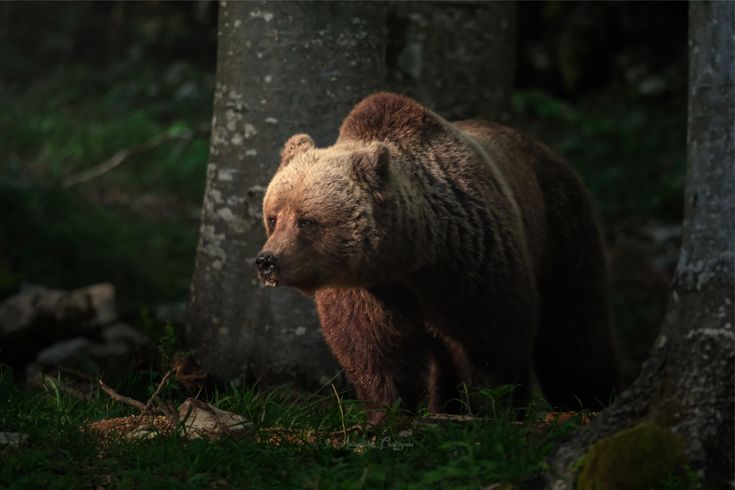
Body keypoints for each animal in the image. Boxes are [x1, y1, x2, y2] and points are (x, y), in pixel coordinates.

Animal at [256, 92, 619, 423]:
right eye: (273, 217)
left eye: (306, 220)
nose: (267, 260)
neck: (409, 258)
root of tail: (549, 151)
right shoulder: (365, 289)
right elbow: (371, 349)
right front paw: (387, 412)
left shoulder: (473, 263)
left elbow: (495, 337)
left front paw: (496, 406)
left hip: (560, 229)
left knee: (574, 324)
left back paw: (586, 400)